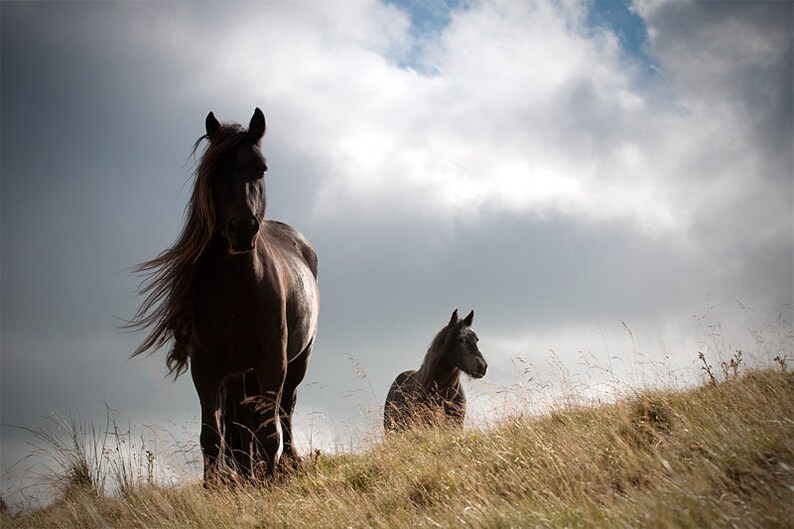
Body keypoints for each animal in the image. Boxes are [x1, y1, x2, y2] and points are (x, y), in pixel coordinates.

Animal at [129, 108, 320, 482]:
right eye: (215, 171)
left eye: (261, 168)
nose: (242, 229)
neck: (238, 289)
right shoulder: (207, 369)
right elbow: (212, 436)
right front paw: (216, 485)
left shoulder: (272, 361)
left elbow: (269, 430)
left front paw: (269, 478)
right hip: (237, 372)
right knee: (242, 419)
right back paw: (246, 471)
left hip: (297, 360)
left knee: (286, 409)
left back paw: (289, 461)